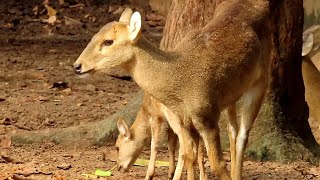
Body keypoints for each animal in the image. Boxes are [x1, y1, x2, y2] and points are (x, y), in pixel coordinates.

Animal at [74, 0, 272, 179]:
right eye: (94, 36)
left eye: (108, 41)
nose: (77, 66)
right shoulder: (184, 119)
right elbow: (189, 155)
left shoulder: (206, 115)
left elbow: (217, 164)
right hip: (230, 97)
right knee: (233, 131)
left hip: (261, 82)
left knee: (242, 136)